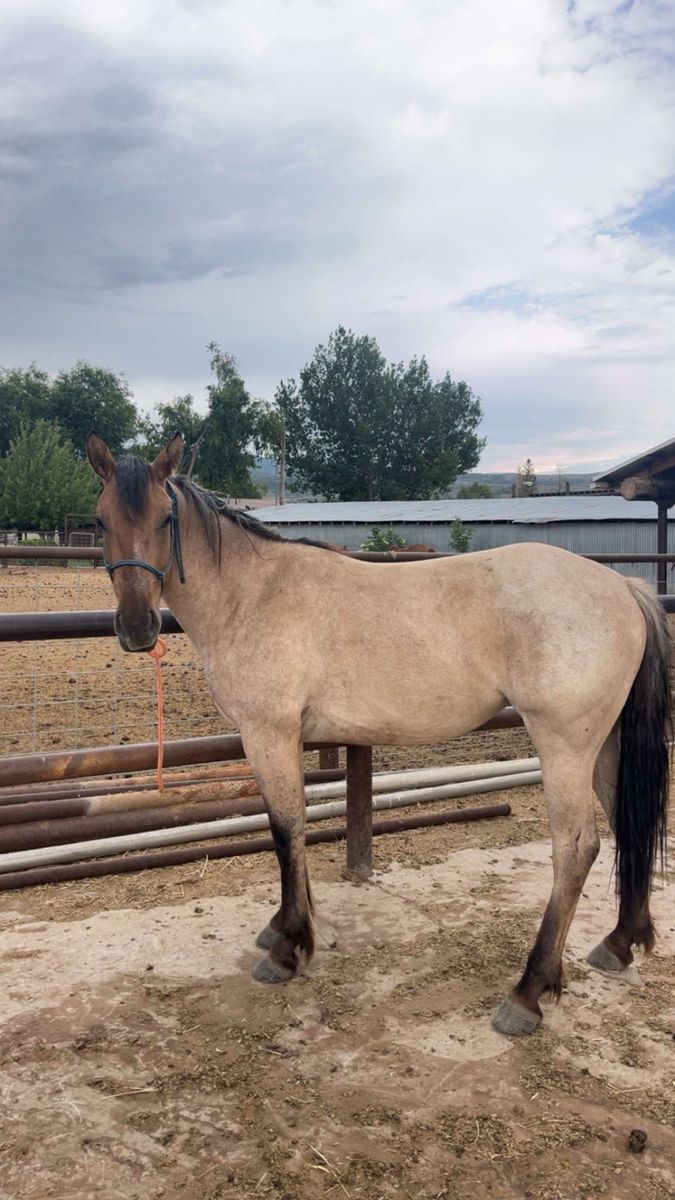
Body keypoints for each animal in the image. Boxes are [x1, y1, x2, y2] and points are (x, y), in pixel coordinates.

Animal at [86, 432, 670, 1037]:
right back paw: (619, 945)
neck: (251, 593)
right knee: (627, 822)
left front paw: (287, 949)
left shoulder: (267, 734)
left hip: (565, 747)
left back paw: (527, 994)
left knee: (576, 849)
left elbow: (285, 831)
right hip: (605, 745)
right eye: (100, 519)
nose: (137, 629)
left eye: (165, 518)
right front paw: (289, 927)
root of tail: (623, 587)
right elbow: (295, 827)